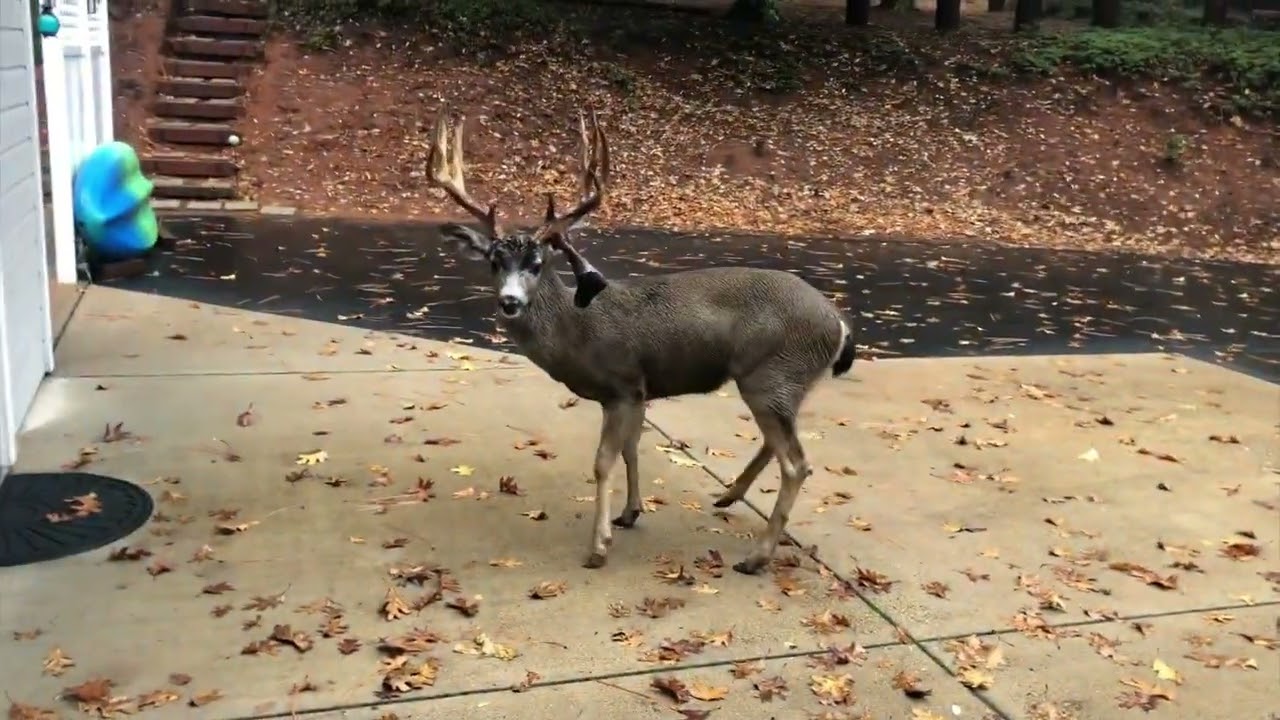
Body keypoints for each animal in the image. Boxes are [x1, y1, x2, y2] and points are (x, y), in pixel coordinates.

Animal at [425, 104, 856, 575]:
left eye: (536, 264)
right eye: (493, 261)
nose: (509, 302)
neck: (577, 330)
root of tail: (839, 325)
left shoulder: (621, 384)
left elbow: (603, 462)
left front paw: (598, 547)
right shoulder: (639, 389)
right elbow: (633, 449)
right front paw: (630, 513)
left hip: (773, 375)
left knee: (797, 464)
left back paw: (756, 557)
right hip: (785, 381)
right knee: (778, 445)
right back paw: (728, 496)